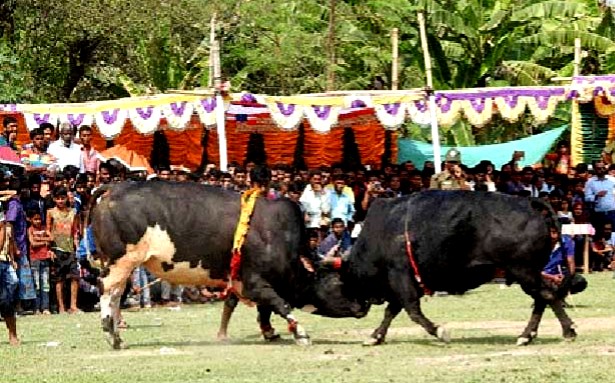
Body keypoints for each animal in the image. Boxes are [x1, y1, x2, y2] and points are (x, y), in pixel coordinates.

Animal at [91, 183, 366, 352]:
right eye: (340, 282)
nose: (364, 305)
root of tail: (113, 187)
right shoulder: (255, 282)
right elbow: (280, 305)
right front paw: (300, 333)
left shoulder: (242, 282)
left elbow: (255, 308)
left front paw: (268, 332)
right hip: (122, 262)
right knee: (107, 291)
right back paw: (111, 336)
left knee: (116, 296)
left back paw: (117, 337)